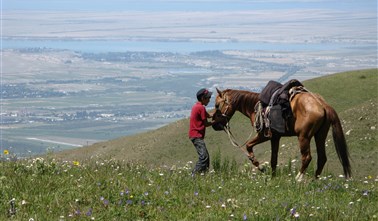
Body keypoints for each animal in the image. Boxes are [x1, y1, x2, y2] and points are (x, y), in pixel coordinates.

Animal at [213, 87, 352, 180]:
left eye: (216, 105)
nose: (214, 124)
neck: (254, 106)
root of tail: (323, 105)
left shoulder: (263, 135)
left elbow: (248, 145)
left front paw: (260, 167)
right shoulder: (275, 137)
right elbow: (273, 159)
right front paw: (273, 177)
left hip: (304, 137)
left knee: (307, 157)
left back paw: (298, 179)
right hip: (320, 136)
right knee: (322, 158)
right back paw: (314, 180)